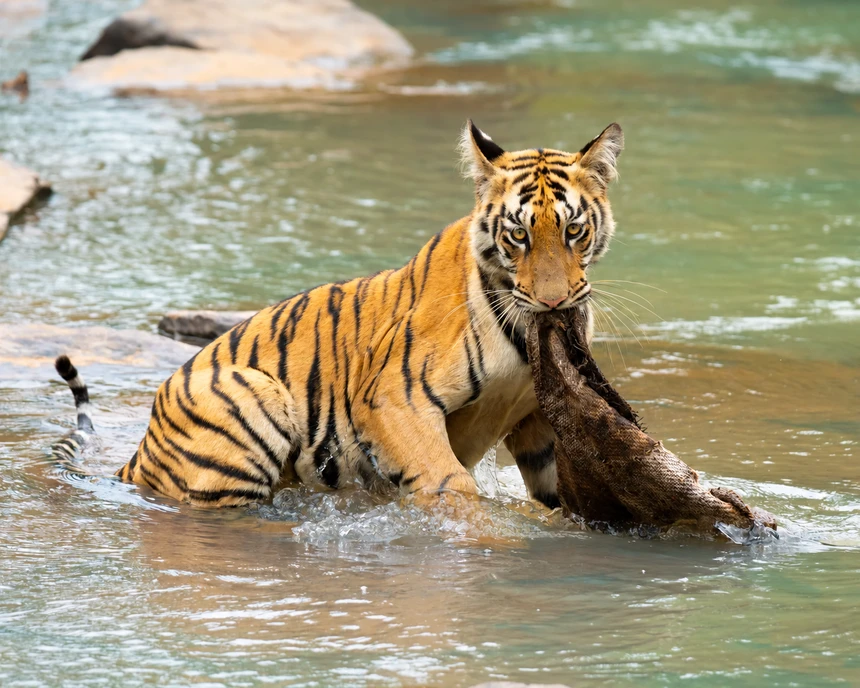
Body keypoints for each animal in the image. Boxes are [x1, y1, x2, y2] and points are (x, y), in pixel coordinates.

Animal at [53, 120, 624, 511]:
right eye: (518, 234)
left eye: (574, 231)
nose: (554, 303)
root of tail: (141, 449)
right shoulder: (396, 398)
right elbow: (450, 482)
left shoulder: (534, 416)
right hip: (250, 404)